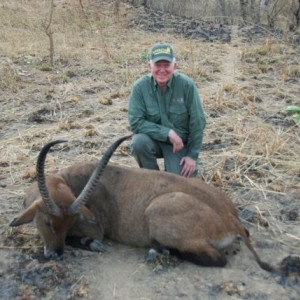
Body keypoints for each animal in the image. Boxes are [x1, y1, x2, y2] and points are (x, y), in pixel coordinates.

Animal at [9, 136, 298, 276]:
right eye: (48, 221)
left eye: (69, 221)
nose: (54, 254)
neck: (71, 181)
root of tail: (231, 218)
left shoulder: (93, 230)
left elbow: (85, 240)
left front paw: (90, 245)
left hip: (156, 211)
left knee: (217, 260)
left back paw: (158, 251)